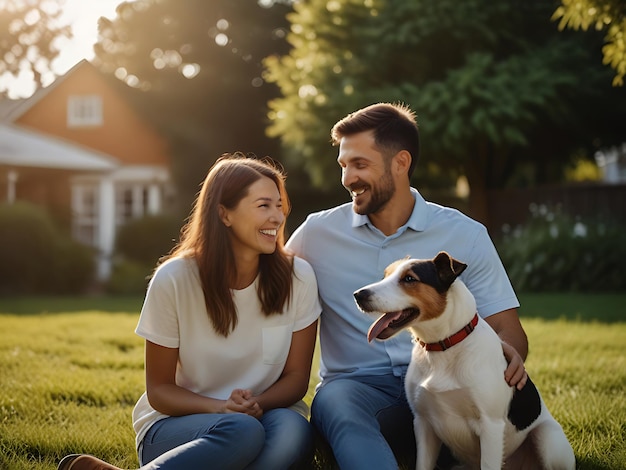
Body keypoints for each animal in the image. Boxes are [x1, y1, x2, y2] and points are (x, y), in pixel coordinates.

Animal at [354, 252, 572, 470]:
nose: (358, 295)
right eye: (385, 276)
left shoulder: (491, 425)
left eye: (409, 279)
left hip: (547, 439)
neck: (443, 345)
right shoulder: (423, 423)